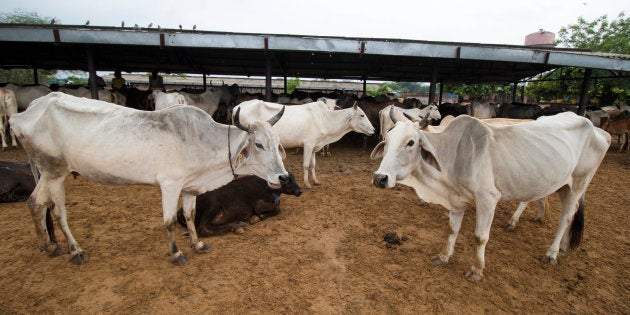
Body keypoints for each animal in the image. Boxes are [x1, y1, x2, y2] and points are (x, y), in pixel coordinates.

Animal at [8, 92, 290, 266]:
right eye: (259, 144)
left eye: (278, 142)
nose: (284, 176)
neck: (202, 140)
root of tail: (24, 113)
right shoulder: (170, 184)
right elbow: (169, 221)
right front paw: (176, 254)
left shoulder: (189, 187)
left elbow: (189, 216)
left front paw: (197, 244)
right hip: (55, 171)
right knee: (58, 211)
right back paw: (75, 250)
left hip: (46, 172)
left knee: (35, 203)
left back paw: (48, 246)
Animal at [175, 173, 304, 237]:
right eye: (287, 180)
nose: (300, 191)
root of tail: (180, 211)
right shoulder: (258, 204)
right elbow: (277, 209)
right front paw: (257, 218)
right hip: (212, 205)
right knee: (203, 228)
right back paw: (238, 225)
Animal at [236, 100, 376, 190]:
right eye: (362, 115)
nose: (374, 130)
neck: (325, 119)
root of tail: (239, 105)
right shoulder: (308, 144)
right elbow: (306, 165)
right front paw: (307, 183)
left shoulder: (314, 146)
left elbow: (313, 165)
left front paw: (315, 181)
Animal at [370, 112, 612, 282]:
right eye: (387, 140)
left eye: (411, 142)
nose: (380, 178)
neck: (454, 154)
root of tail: (599, 130)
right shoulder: (456, 200)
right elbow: (452, 230)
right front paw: (444, 256)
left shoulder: (487, 199)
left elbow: (480, 237)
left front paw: (476, 270)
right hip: (561, 185)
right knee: (567, 212)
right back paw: (563, 246)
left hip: (579, 183)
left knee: (566, 217)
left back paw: (552, 252)